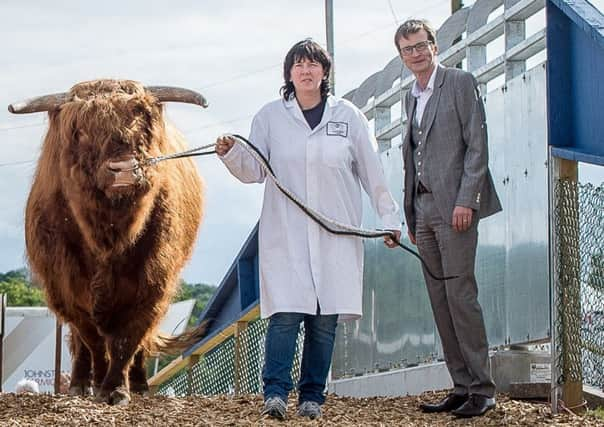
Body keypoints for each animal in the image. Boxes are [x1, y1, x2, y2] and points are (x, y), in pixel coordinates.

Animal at [7, 79, 208, 404]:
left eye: (141, 125)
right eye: (81, 131)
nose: (124, 168)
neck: (108, 237)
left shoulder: (152, 282)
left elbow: (128, 339)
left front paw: (117, 389)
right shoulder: (69, 287)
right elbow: (93, 340)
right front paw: (100, 384)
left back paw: (139, 385)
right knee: (80, 343)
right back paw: (80, 384)